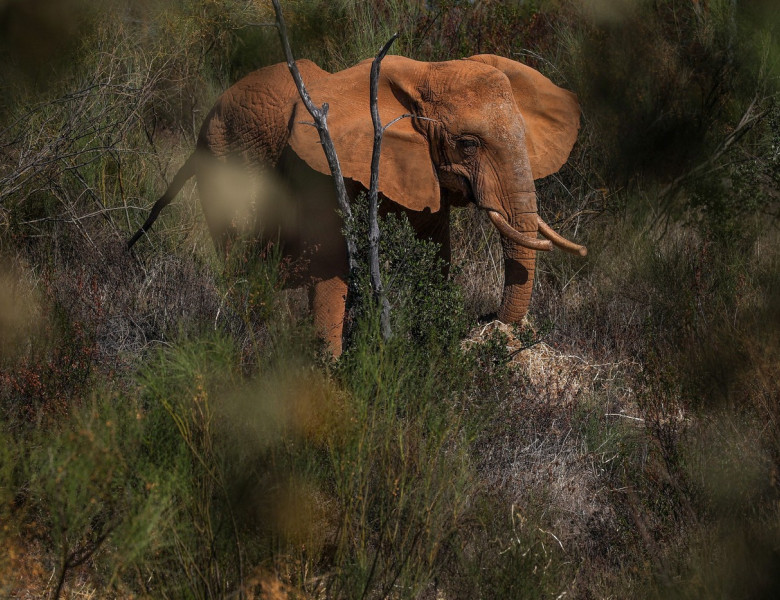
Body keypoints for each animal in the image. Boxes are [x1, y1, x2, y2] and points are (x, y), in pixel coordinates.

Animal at [128, 54, 586, 356]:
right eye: (468, 144)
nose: (487, 322)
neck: (423, 72)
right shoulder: (322, 171)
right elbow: (330, 267)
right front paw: (330, 379)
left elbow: (435, 258)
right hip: (224, 163)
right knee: (239, 260)